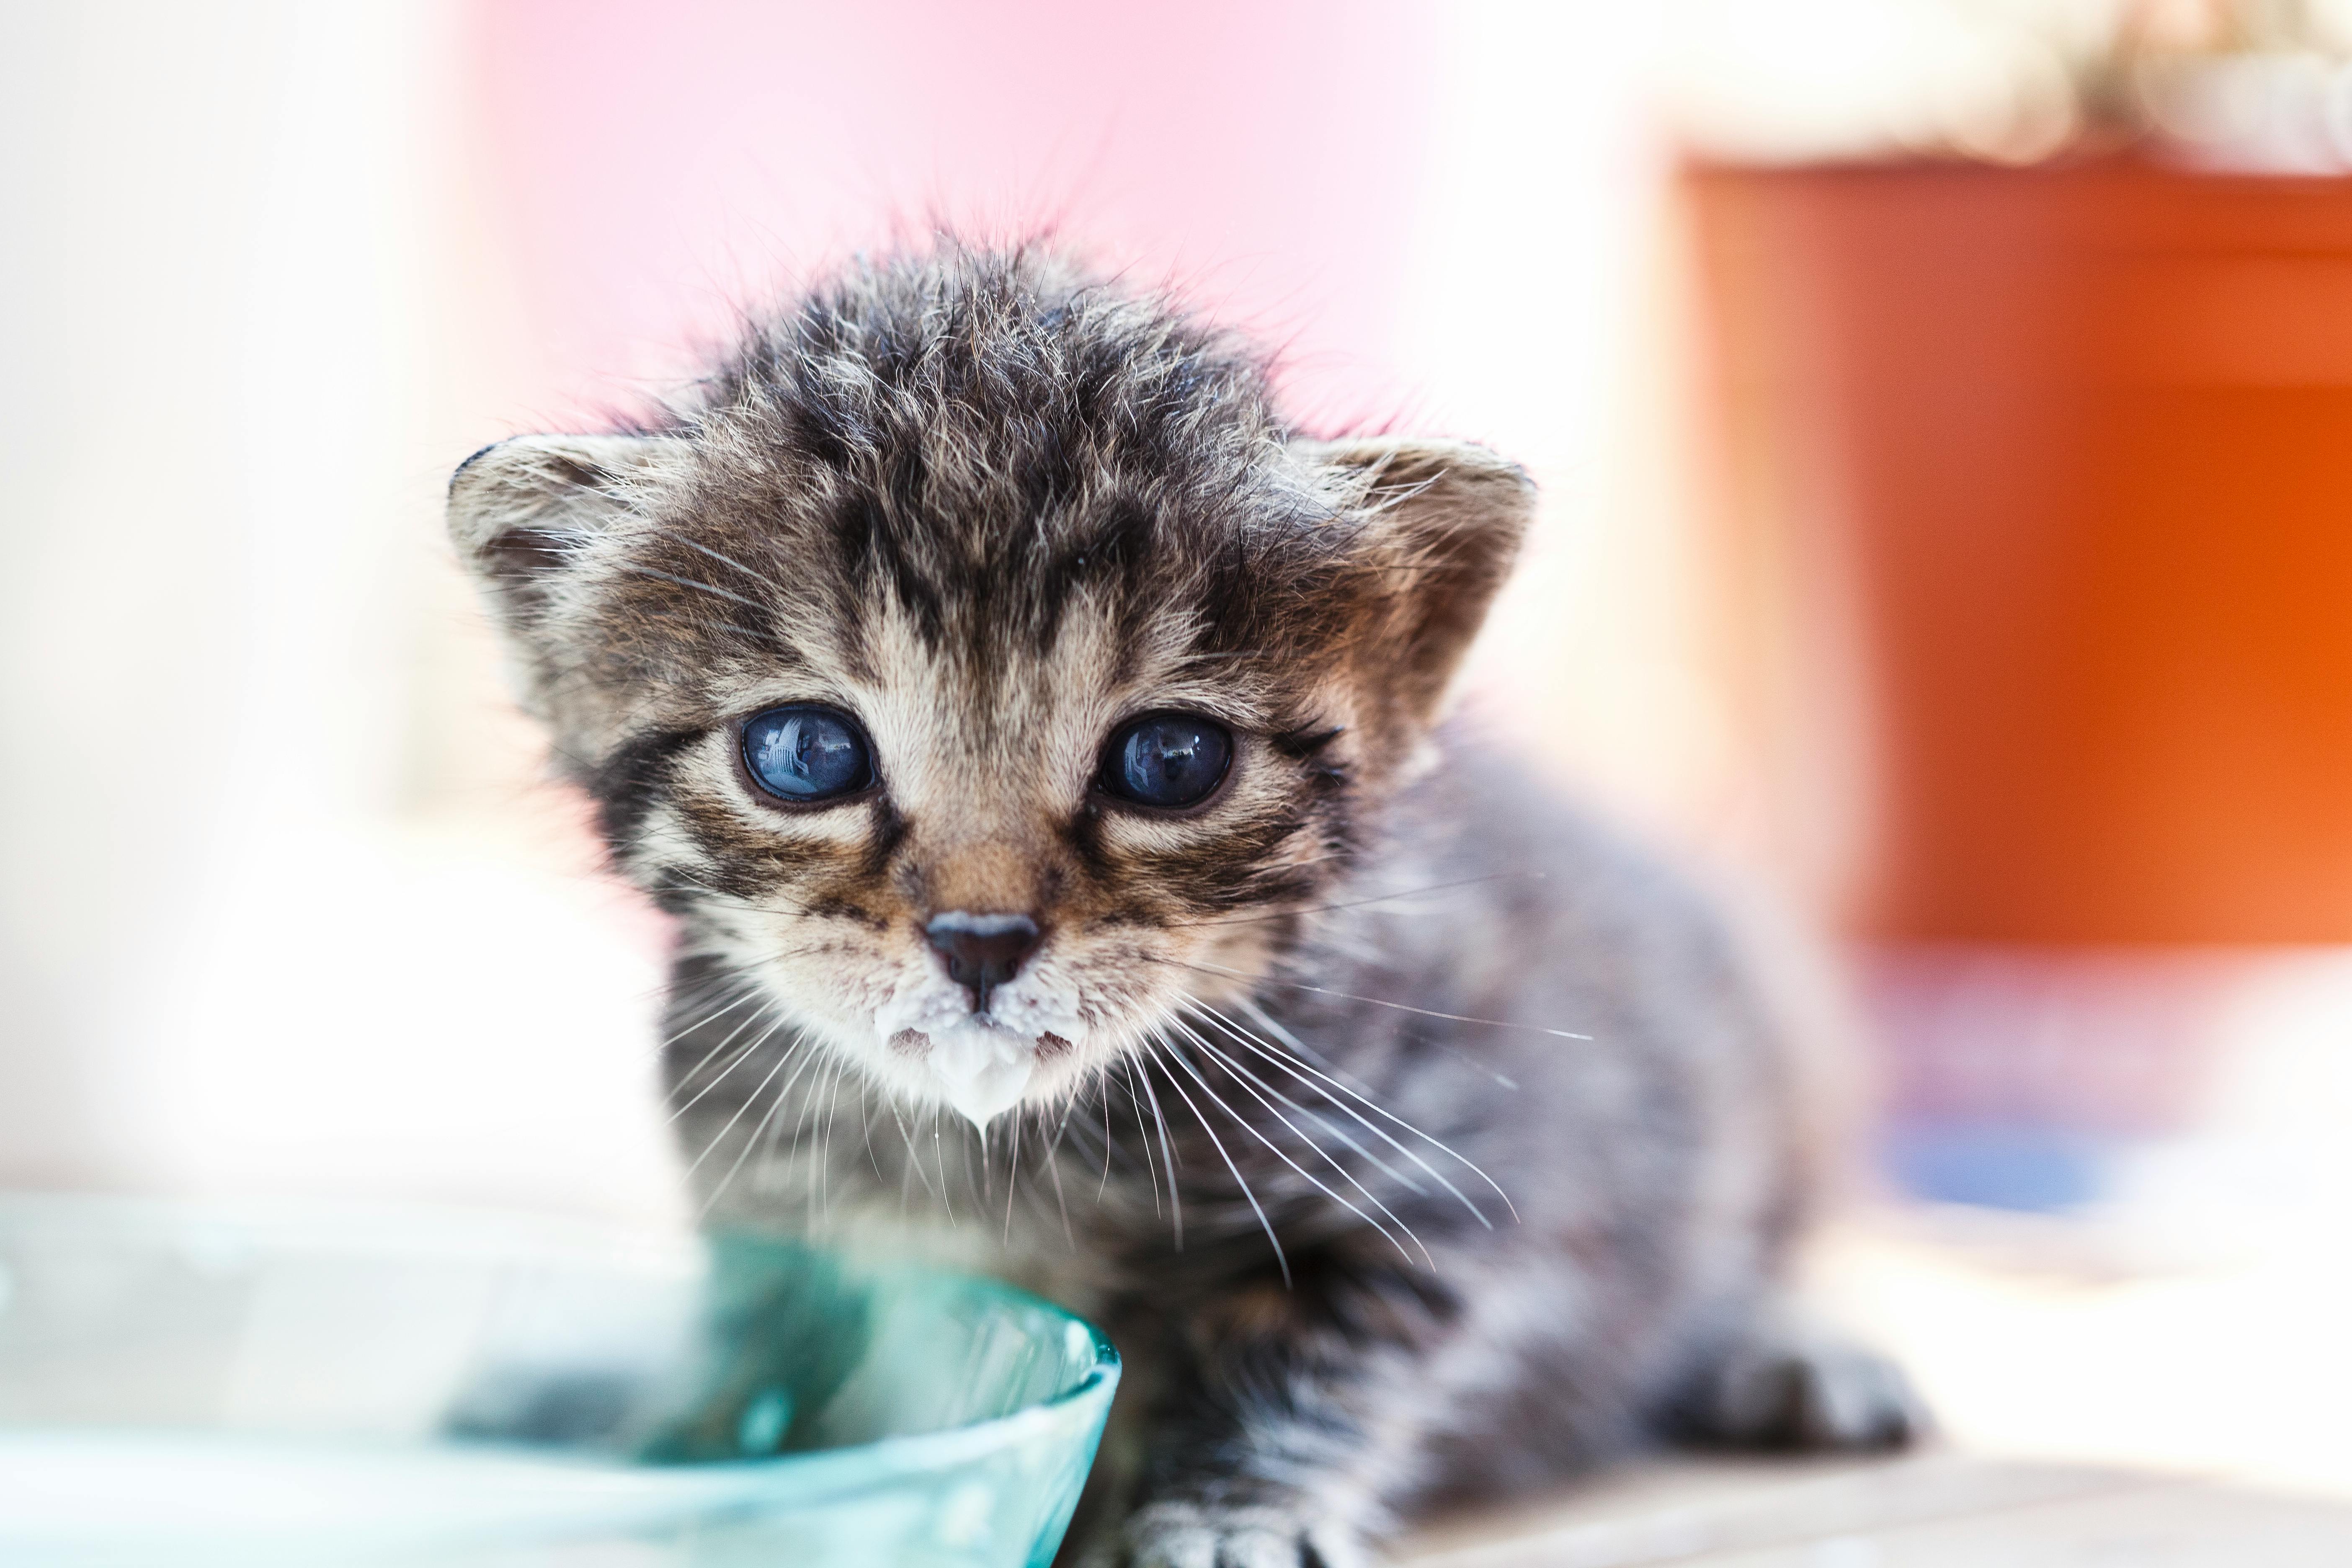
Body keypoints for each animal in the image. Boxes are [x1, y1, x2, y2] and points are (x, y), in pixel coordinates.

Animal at [444, 245, 1910, 1568]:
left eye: (1171, 762)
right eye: (806, 754)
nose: (982, 940)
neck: (989, 1155)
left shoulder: (1455, 1167)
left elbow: (1316, 1351)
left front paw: (1226, 1519)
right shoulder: (764, 1233)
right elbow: (757, 1371)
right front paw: (672, 1444)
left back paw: (1792, 1353)